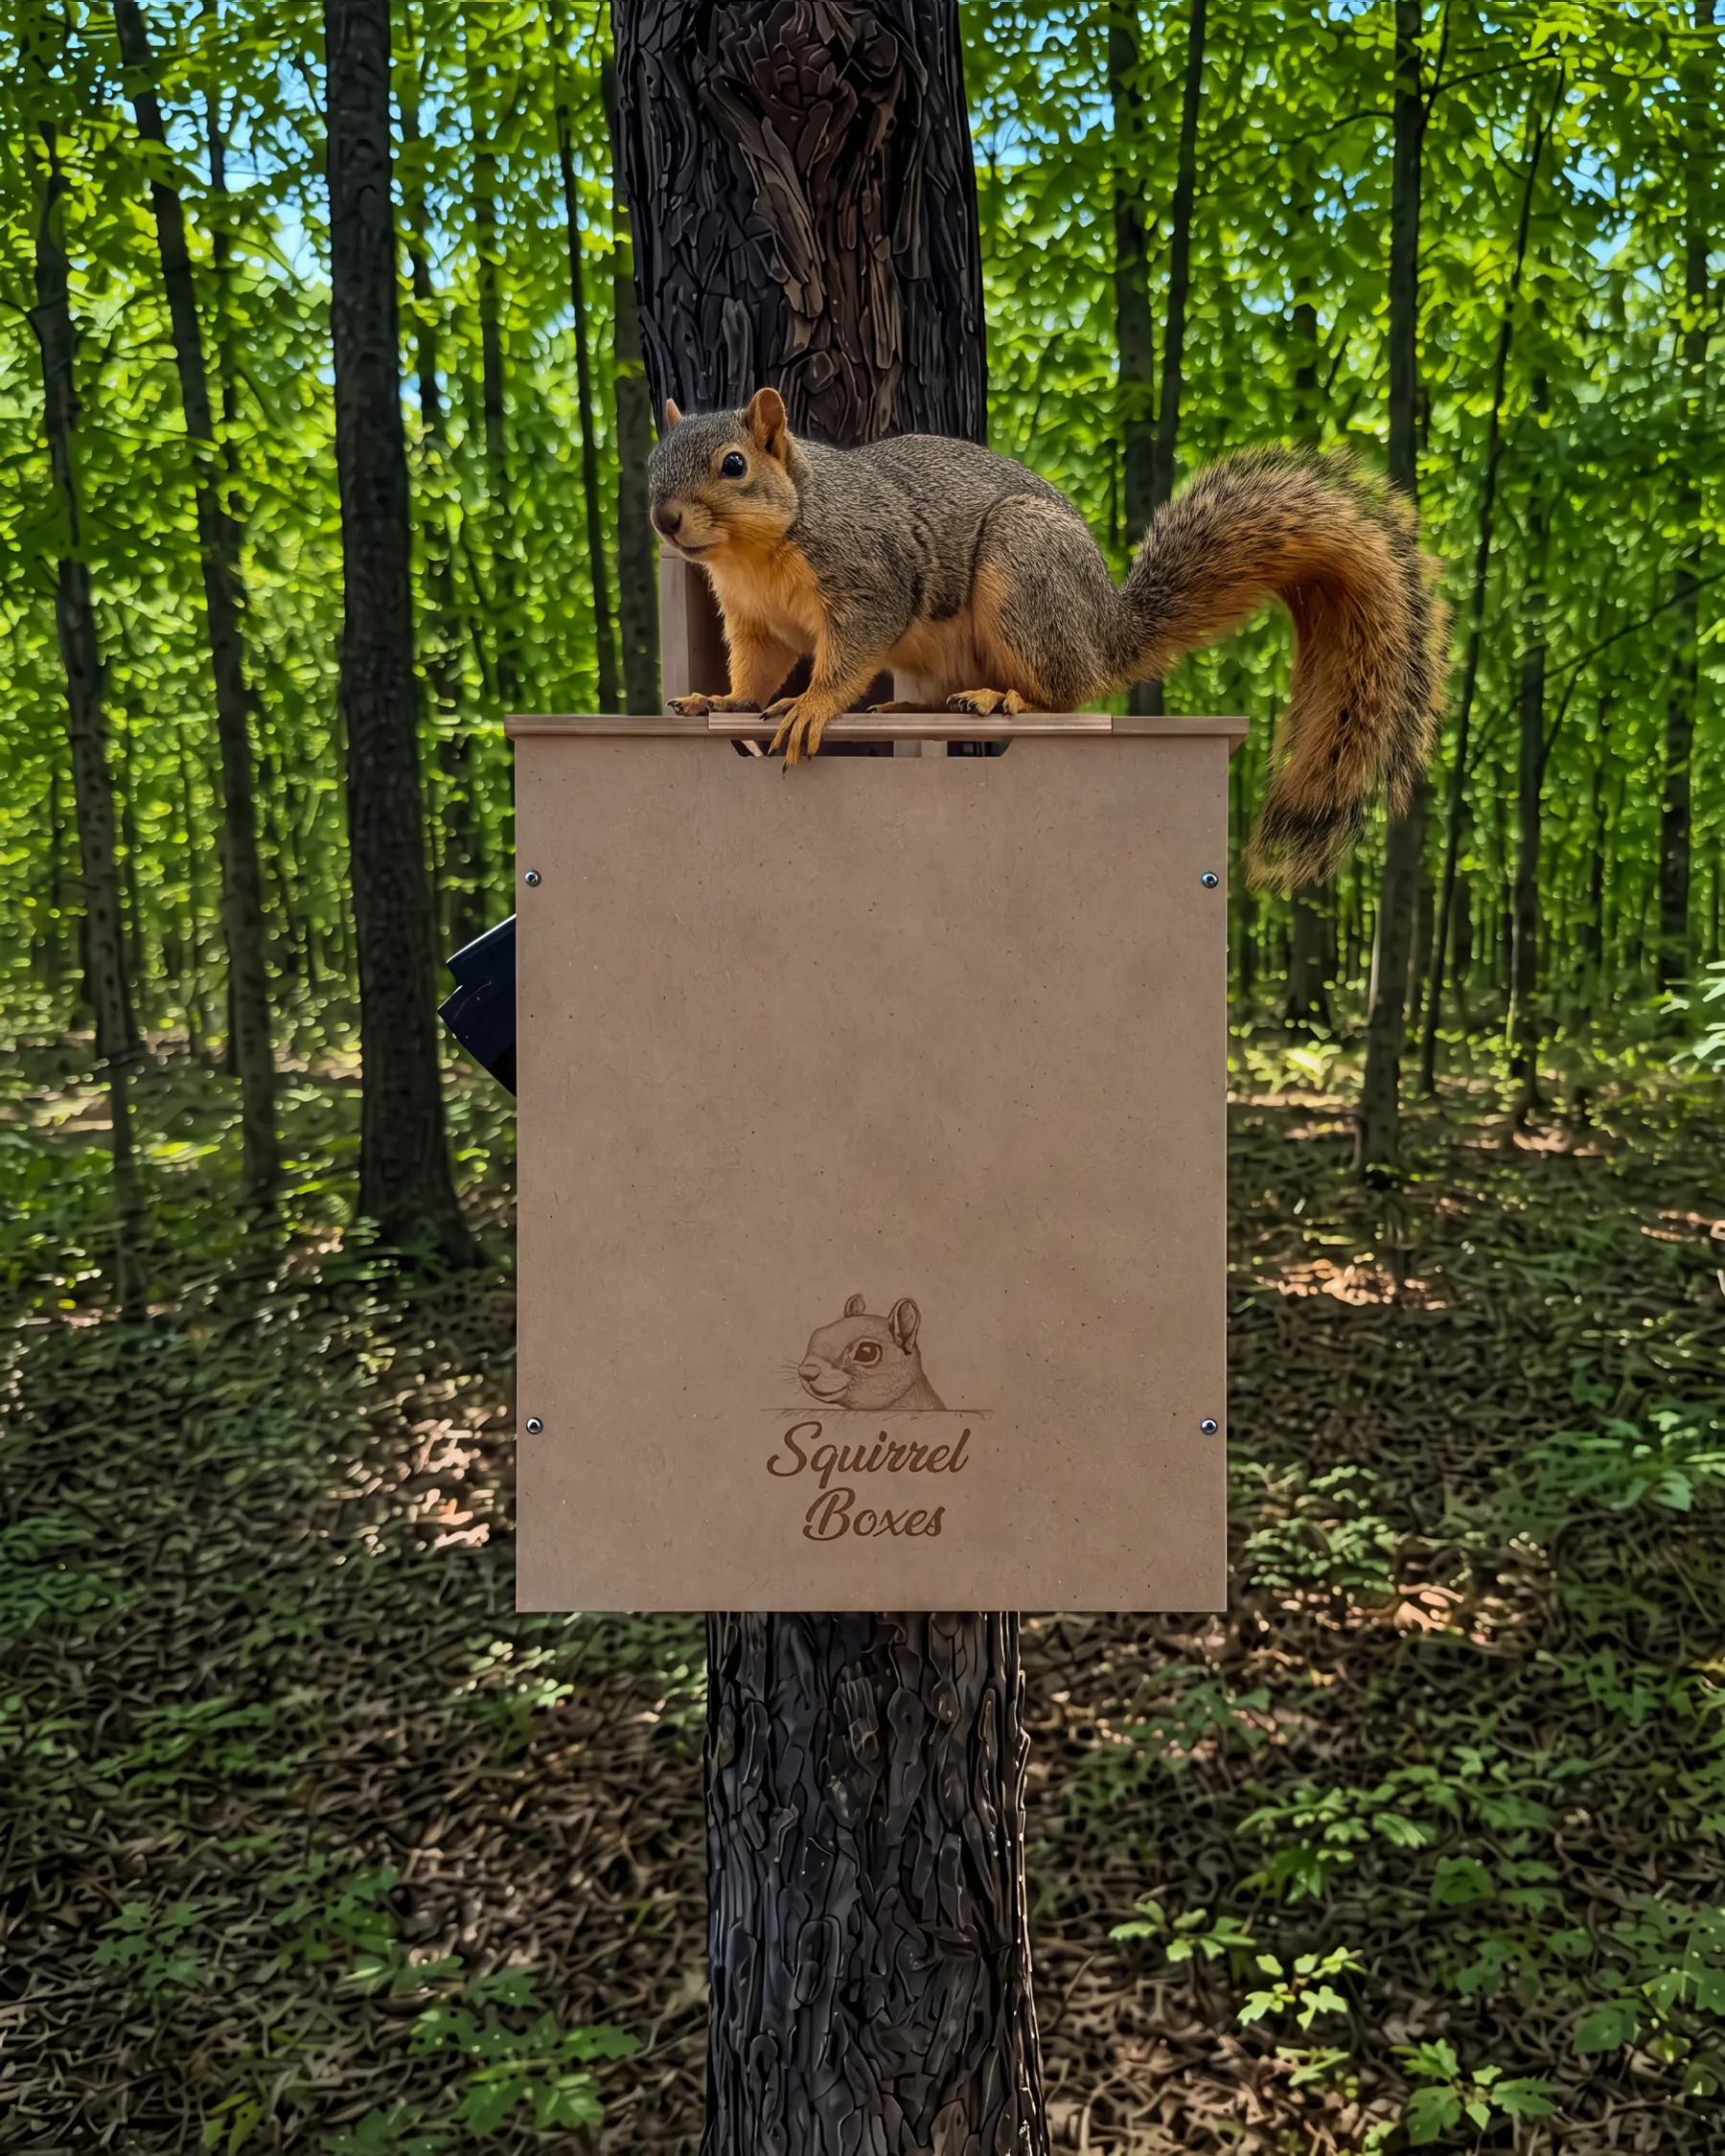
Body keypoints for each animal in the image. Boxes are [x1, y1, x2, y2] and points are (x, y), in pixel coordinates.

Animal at [646, 388, 1447, 887]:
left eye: (734, 465)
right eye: (651, 464)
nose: (664, 519)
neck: (755, 553)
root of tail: (1102, 631)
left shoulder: (869, 578)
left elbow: (844, 658)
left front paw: (811, 707)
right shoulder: (754, 620)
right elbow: (758, 669)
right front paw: (717, 700)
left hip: (1025, 573)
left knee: (1063, 692)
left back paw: (1004, 699)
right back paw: (917, 706)